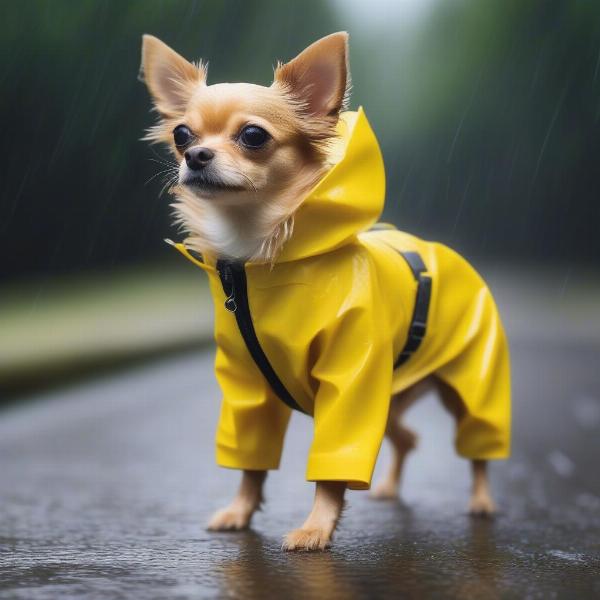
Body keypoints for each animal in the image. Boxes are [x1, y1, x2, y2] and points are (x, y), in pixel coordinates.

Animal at [141, 32, 510, 552]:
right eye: (182, 135)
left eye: (252, 136)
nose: (195, 156)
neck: (256, 257)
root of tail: (447, 252)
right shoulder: (249, 391)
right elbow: (251, 466)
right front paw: (240, 511)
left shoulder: (351, 382)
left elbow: (334, 467)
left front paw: (316, 528)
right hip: (391, 397)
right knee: (408, 439)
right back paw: (391, 488)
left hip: (470, 384)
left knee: (478, 448)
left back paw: (480, 501)